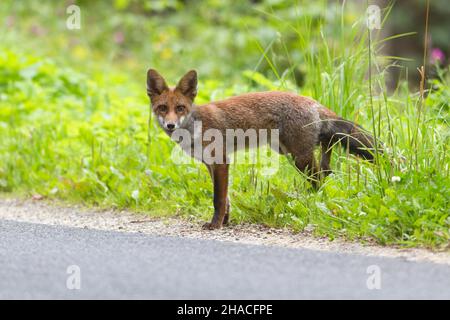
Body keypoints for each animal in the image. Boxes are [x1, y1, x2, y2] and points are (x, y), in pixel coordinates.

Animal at [146, 69, 378, 230]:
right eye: (163, 108)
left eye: (180, 108)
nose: (170, 125)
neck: (195, 124)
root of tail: (312, 101)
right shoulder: (211, 164)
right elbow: (226, 199)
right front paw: (226, 222)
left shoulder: (221, 161)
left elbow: (218, 199)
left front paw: (216, 225)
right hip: (290, 151)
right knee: (326, 167)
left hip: (299, 157)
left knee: (319, 178)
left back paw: (313, 203)